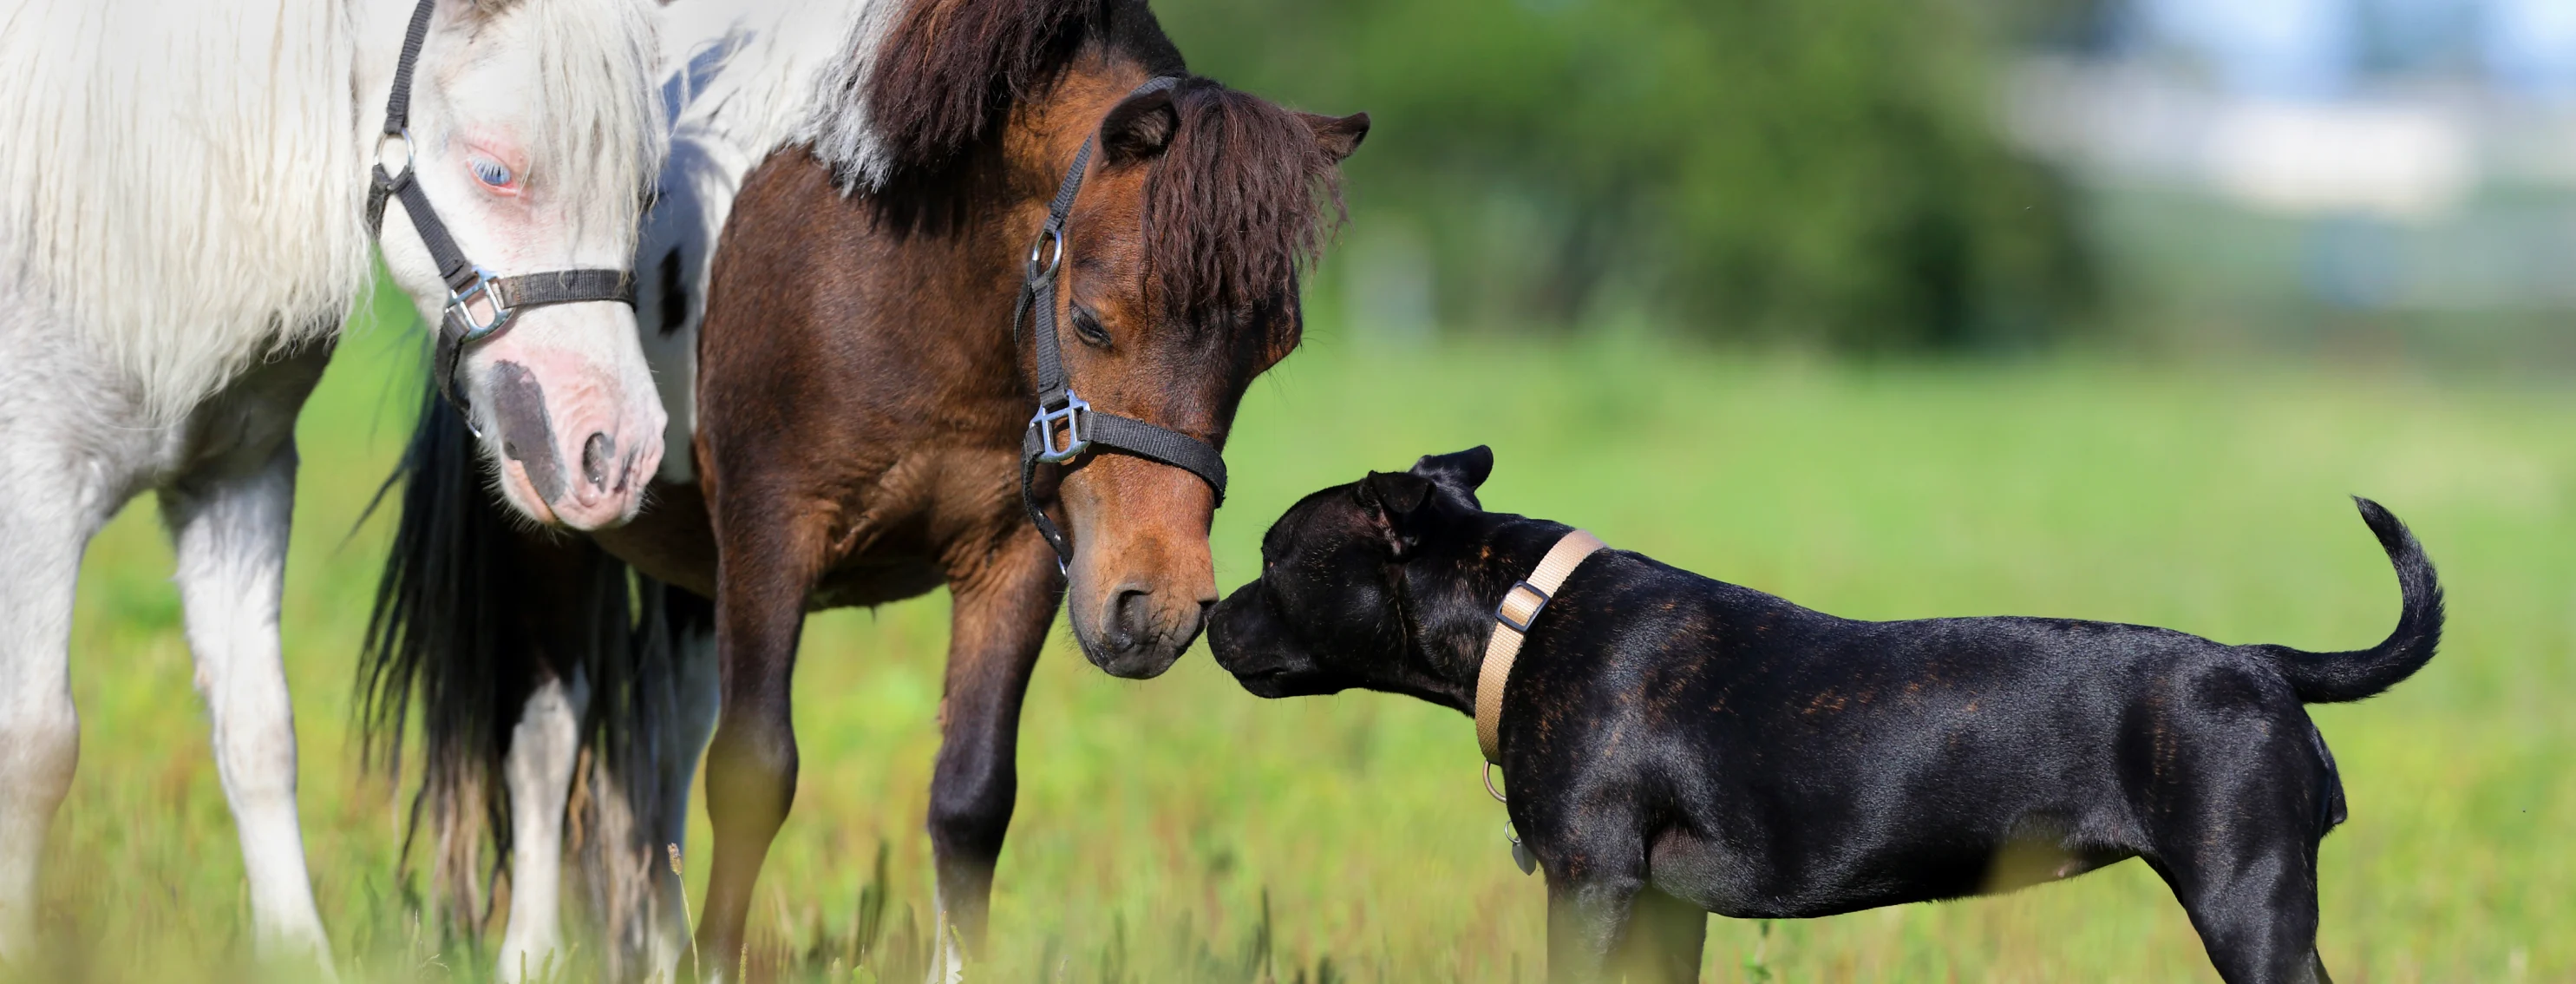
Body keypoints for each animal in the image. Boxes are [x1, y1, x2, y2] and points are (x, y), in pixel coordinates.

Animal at [0, 0, 675, 968]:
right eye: (496, 169)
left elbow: (258, 734)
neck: (114, 201)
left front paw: (295, 954)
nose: (614, 456)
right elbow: (37, 748)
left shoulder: (235, 481)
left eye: (644, 194)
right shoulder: (37, 491)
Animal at [370, 0, 1370, 974]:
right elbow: (751, 774)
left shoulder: (1017, 563)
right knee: (546, 744)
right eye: (1091, 319)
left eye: (1273, 347)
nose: (1156, 607)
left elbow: (971, 799)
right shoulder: (771, 536)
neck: (894, 254)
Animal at [1205, 448, 2431, 984]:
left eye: (1274, 553)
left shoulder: (1590, 884)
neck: (1518, 608)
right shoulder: (1662, 905)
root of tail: (2262, 664)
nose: (1209, 612)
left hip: (2248, 907)